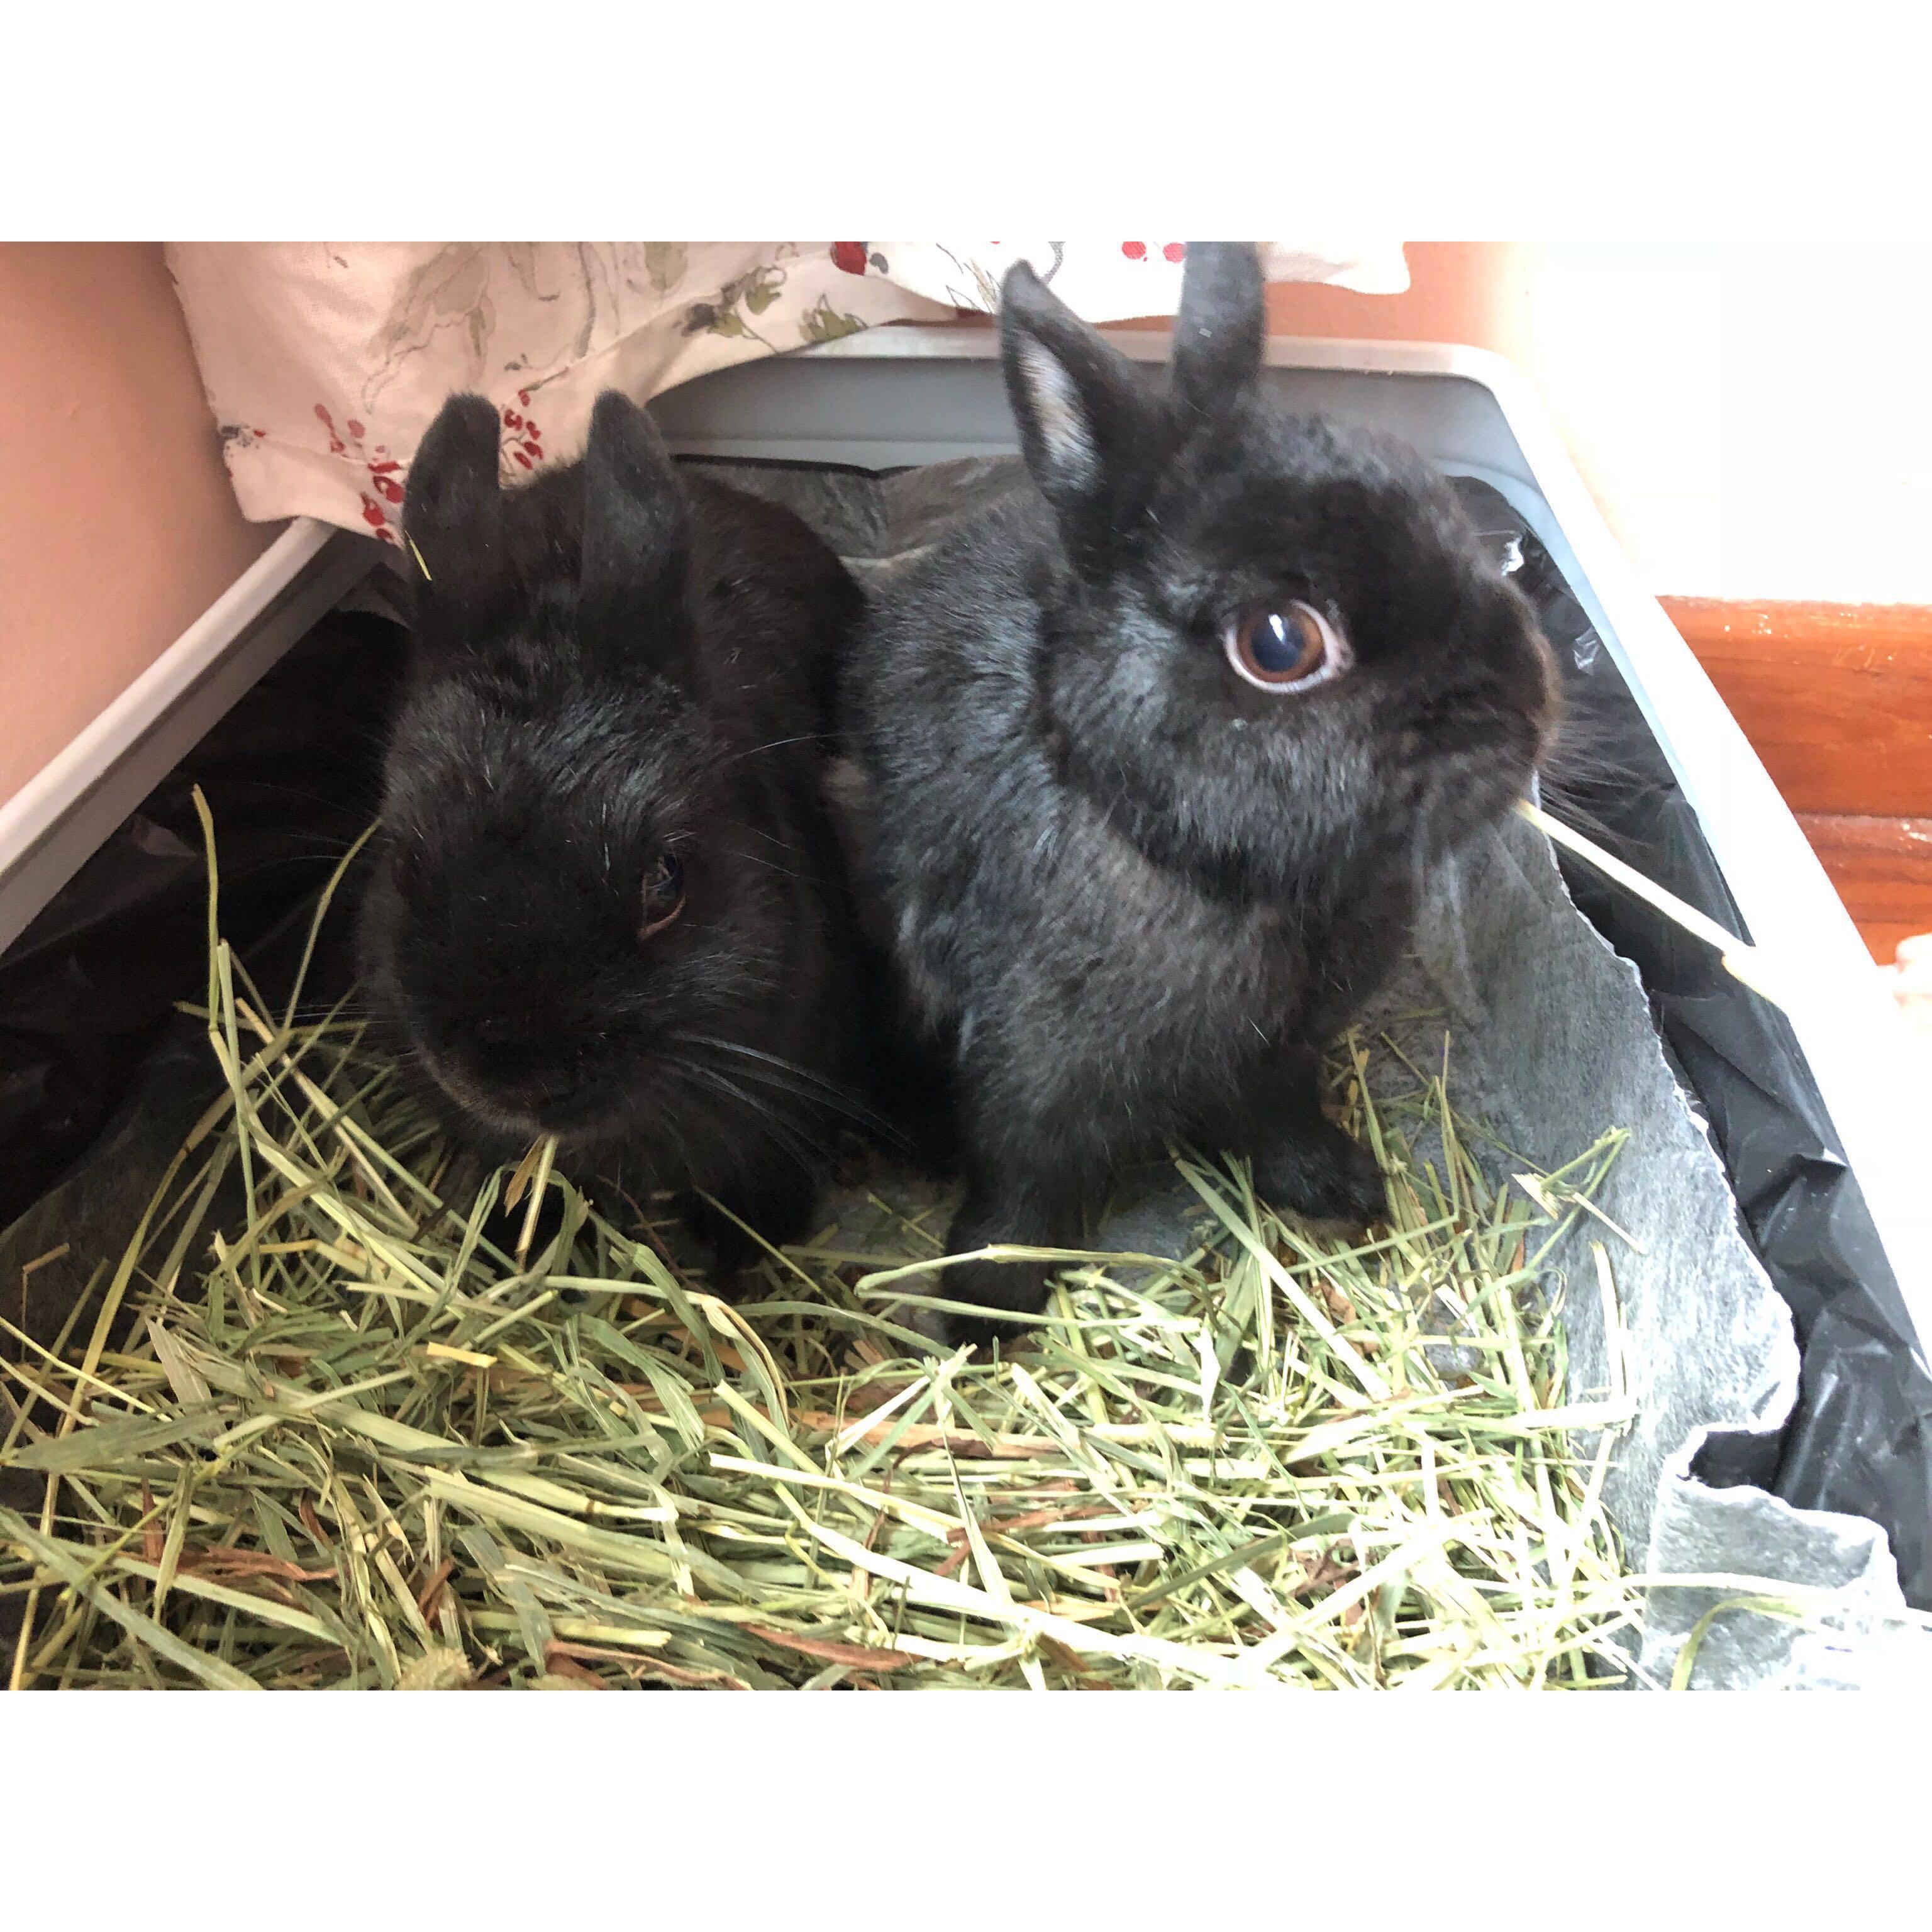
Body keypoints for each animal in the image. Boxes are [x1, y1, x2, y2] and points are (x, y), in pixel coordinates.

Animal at [839, 243, 1559, 1345]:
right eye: (1280, 643)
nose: (1527, 709)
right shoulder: (1028, 1085)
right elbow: (1020, 1194)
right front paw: (984, 1316)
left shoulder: (1284, 1060)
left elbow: (1282, 1118)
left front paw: (1339, 1188)